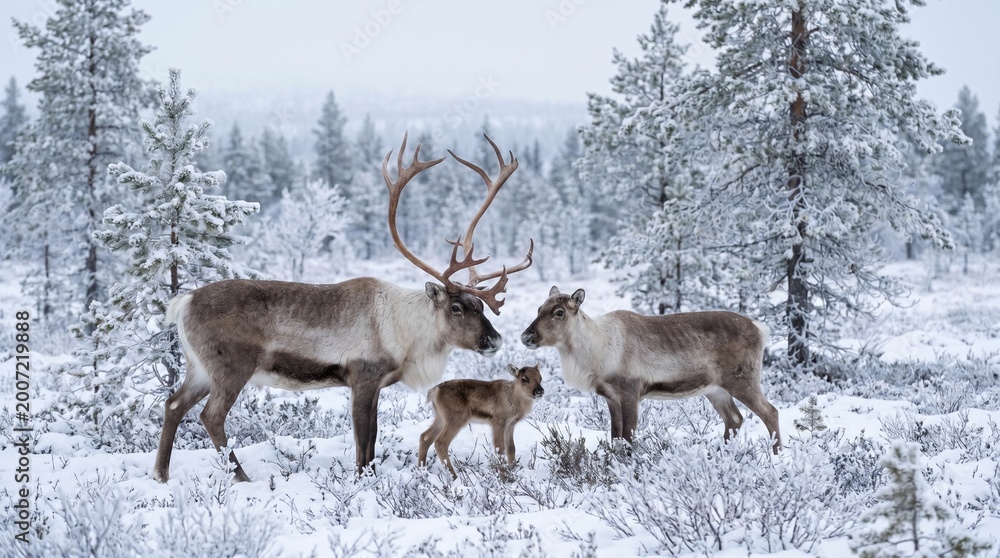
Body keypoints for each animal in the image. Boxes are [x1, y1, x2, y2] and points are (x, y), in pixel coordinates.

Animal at [153, 133, 533, 483]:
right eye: (456, 306)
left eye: (479, 305)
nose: (494, 340)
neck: (405, 334)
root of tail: (183, 302)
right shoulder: (362, 377)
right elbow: (363, 440)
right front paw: (363, 479)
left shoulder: (377, 384)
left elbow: (373, 437)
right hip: (230, 367)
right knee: (211, 416)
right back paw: (241, 478)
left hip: (199, 368)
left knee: (173, 405)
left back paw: (161, 474)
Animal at [520, 287, 781, 453]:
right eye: (539, 308)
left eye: (559, 312)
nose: (526, 336)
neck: (596, 350)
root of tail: (761, 328)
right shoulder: (611, 397)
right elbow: (615, 437)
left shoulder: (630, 392)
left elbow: (628, 437)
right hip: (716, 389)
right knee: (734, 419)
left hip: (742, 380)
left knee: (770, 412)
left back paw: (776, 456)